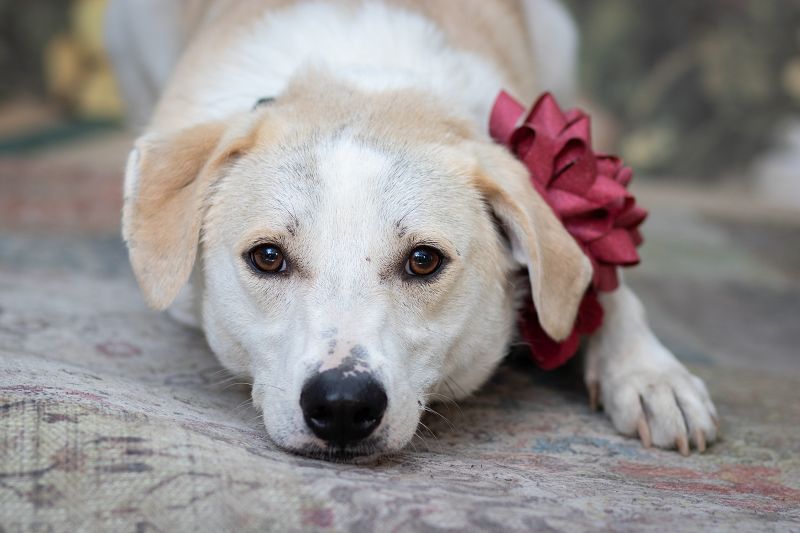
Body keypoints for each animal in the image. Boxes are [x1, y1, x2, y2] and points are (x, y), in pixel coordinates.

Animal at [106, 0, 718, 459]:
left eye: (424, 261)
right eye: (268, 257)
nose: (343, 404)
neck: (367, 82)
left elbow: (603, 279)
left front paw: (650, 374)